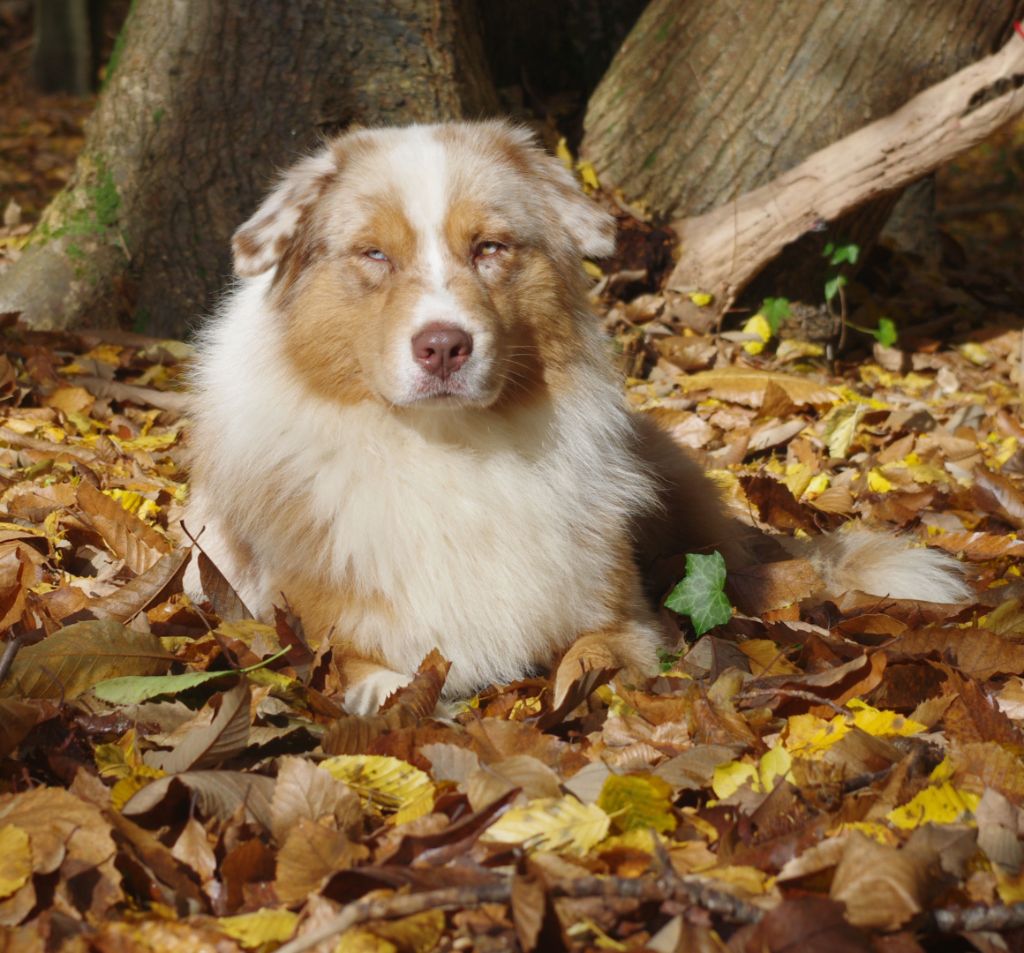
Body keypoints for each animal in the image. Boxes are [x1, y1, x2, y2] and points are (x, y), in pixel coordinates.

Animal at [184, 121, 966, 716]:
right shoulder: (306, 623)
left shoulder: (623, 614)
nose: (444, 346)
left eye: (490, 248)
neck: (453, 448)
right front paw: (394, 693)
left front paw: (580, 690)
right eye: (373, 253)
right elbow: (363, 669)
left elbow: (595, 652)